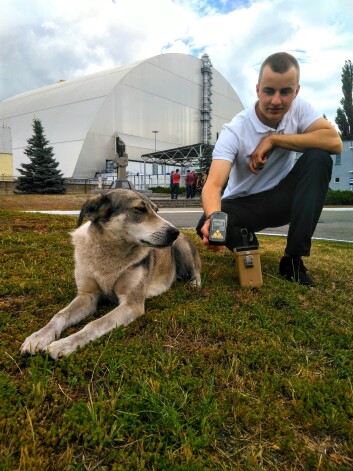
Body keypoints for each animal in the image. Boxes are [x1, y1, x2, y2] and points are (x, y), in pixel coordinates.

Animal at [20, 188, 201, 358]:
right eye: (139, 209)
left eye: (156, 210)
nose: (175, 232)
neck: (110, 255)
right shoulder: (88, 295)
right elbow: (60, 315)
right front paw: (38, 337)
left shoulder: (131, 304)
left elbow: (95, 324)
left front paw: (63, 344)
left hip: (182, 247)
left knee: (196, 270)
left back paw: (194, 283)